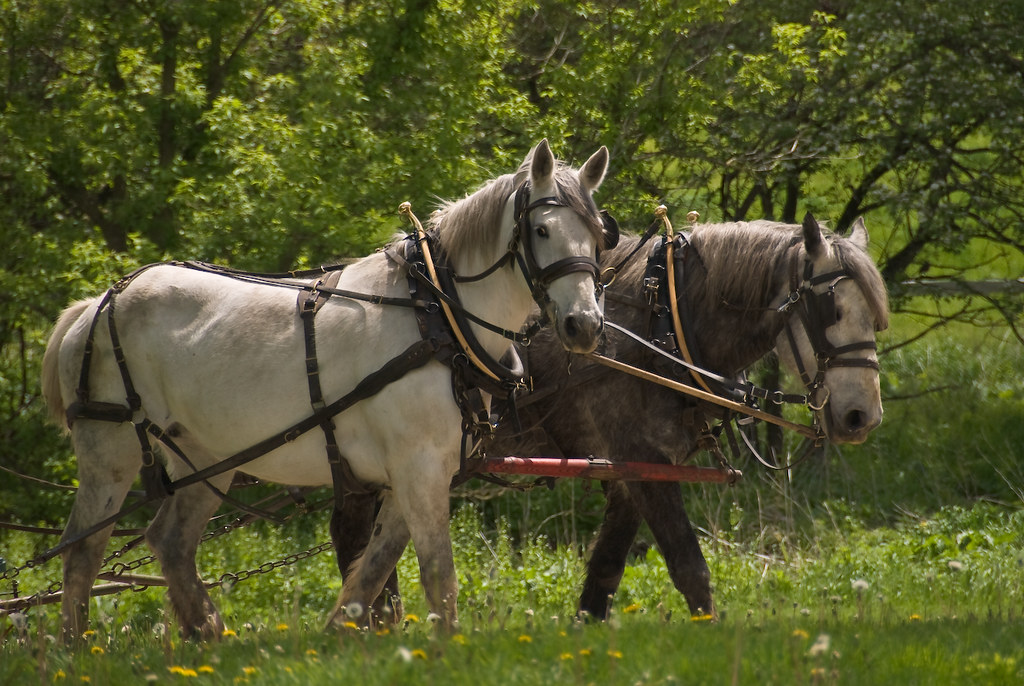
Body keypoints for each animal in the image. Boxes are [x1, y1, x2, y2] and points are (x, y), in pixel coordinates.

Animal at [41, 139, 613, 640]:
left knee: (172, 543)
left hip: (205, 458)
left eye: (598, 237)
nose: (584, 325)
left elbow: (373, 569)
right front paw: (445, 649)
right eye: (541, 229)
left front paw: (338, 633)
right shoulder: (419, 467)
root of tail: (96, 304)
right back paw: (75, 647)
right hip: (110, 452)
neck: (437, 315)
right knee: (82, 552)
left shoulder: (419, 473)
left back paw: (210, 634)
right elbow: (438, 574)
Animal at [330, 212, 889, 621]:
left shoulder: (633, 469)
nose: (861, 416)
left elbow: (604, 575)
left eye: (877, 317)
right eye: (831, 309)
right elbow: (690, 568)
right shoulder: (641, 458)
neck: (662, 324)